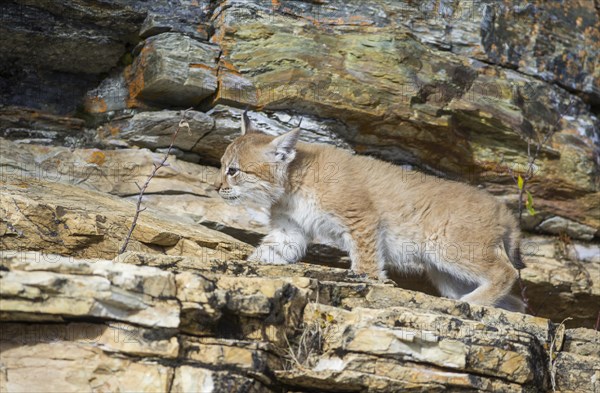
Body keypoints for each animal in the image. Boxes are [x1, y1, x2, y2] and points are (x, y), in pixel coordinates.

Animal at [216, 112, 524, 310]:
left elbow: (366, 259)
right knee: (518, 300)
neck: (291, 182)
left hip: (448, 247)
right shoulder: (290, 229)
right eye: (220, 165)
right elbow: (270, 250)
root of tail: (504, 210)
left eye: (233, 171)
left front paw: (369, 281)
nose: (216, 187)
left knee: (508, 273)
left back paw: (470, 305)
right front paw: (246, 266)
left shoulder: (361, 217)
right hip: (443, 271)